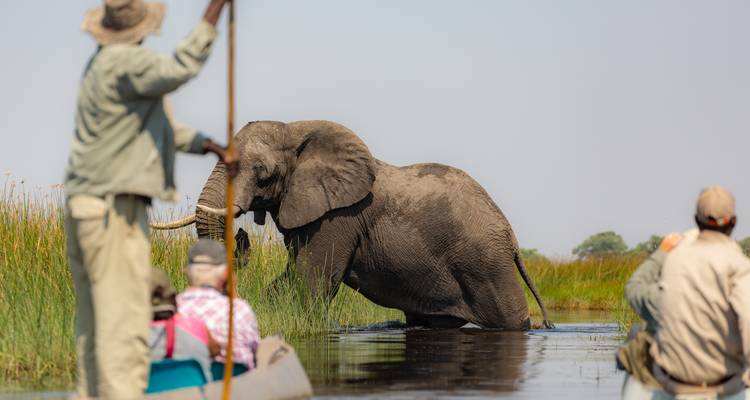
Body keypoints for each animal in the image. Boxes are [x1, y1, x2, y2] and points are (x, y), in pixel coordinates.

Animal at [153, 120, 552, 330]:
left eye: (262, 174)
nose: (241, 233)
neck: (296, 129)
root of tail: (511, 236)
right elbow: (288, 279)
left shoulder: (337, 218)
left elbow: (311, 282)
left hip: (486, 264)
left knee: (510, 319)